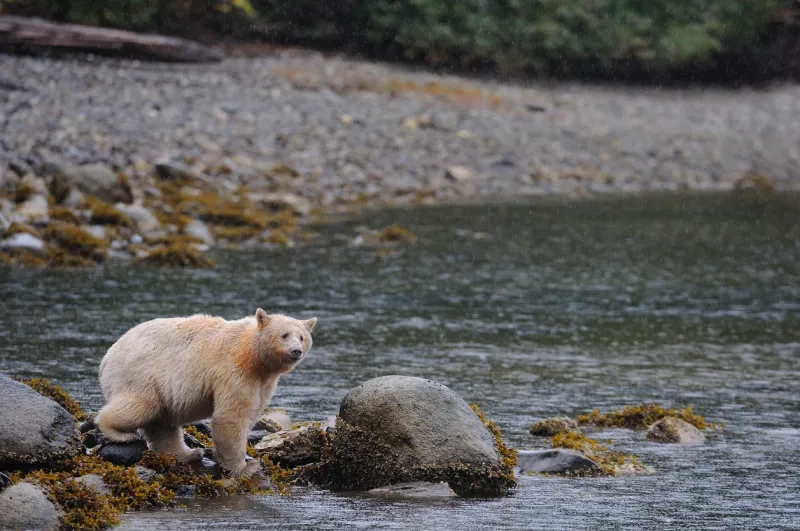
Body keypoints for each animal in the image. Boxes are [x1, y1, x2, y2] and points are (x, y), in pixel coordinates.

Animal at [96, 309, 317, 478]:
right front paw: (246, 467)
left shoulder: (264, 382)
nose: (296, 351)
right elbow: (231, 416)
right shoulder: (235, 371)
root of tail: (107, 358)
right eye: (284, 335)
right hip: (142, 374)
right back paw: (118, 433)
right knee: (141, 407)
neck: (253, 355)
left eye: (302, 337)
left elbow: (251, 412)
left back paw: (188, 453)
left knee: (163, 424)